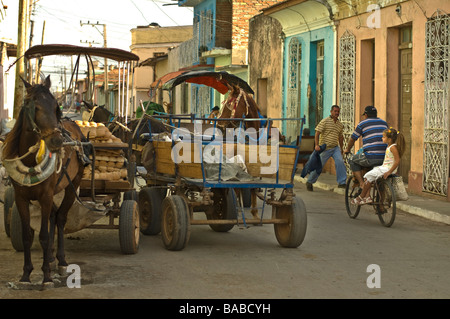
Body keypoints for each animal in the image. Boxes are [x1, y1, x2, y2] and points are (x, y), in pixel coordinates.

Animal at [1, 76, 85, 286]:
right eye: (35, 107)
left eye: (56, 107)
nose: (57, 141)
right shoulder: (21, 198)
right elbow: (27, 235)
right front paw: (26, 275)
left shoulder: (45, 196)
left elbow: (45, 236)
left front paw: (46, 276)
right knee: (54, 217)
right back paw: (52, 259)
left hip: (72, 186)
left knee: (60, 219)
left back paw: (61, 262)